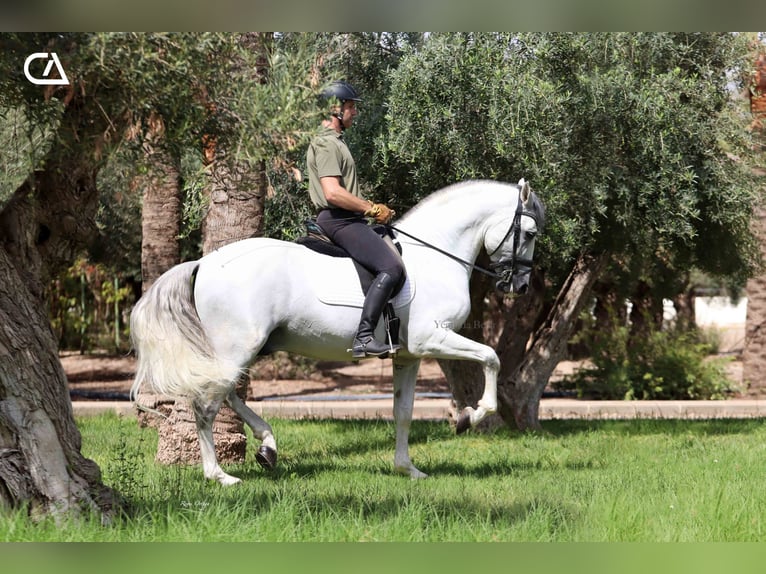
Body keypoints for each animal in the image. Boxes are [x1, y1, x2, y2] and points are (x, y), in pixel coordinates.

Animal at [130, 180, 544, 486]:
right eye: (528, 233)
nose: (521, 287)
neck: (436, 256)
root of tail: (204, 262)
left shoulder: (409, 356)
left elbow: (403, 412)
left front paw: (407, 469)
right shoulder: (433, 339)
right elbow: (491, 357)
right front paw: (469, 418)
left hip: (240, 350)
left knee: (227, 395)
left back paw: (267, 447)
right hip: (238, 347)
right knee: (206, 406)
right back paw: (220, 475)